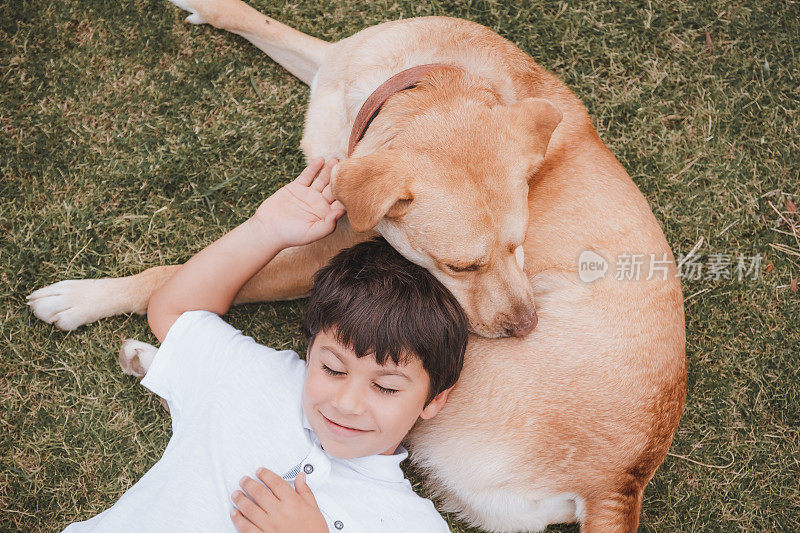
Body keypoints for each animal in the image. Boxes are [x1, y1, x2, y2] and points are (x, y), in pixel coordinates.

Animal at [26, 2, 688, 528]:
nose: (526, 326)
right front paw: (210, 6)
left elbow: (166, 278)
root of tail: (623, 481)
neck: (435, 84)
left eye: (518, 246)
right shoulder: (333, 62)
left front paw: (81, 298)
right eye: (461, 265)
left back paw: (154, 358)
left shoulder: (320, 254)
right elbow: (265, 21)